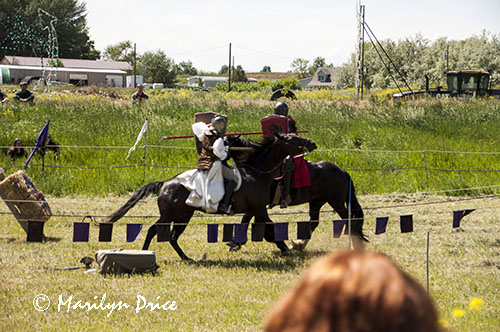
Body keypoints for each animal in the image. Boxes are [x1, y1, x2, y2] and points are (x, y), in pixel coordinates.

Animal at [106, 134, 316, 260]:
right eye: (293, 138)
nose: (312, 143)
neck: (257, 172)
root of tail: (165, 183)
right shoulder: (259, 209)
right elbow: (271, 228)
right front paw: (286, 248)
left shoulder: (255, 210)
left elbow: (259, 228)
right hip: (171, 215)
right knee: (153, 230)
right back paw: (144, 252)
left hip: (183, 216)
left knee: (172, 236)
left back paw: (186, 258)